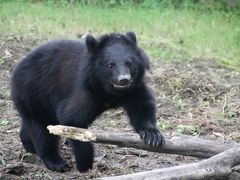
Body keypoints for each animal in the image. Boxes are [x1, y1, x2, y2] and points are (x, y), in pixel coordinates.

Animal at [11, 32, 165, 172]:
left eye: (129, 63)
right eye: (110, 65)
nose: (124, 79)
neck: (110, 91)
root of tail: (17, 67)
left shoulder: (134, 88)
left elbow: (142, 106)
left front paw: (153, 136)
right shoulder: (86, 90)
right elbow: (73, 120)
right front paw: (85, 165)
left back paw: (29, 146)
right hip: (34, 92)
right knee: (42, 131)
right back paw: (57, 163)